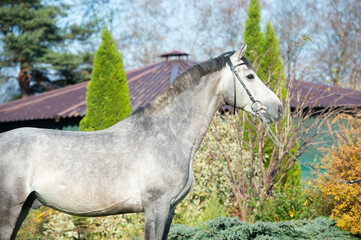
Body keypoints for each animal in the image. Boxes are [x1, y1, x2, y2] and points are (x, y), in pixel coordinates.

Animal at [0, 44, 282, 238]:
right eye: (250, 77)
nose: (278, 109)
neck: (168, 134)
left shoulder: (169, 209)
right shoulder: (156, 207)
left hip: (22, 209)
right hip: (9, 210)